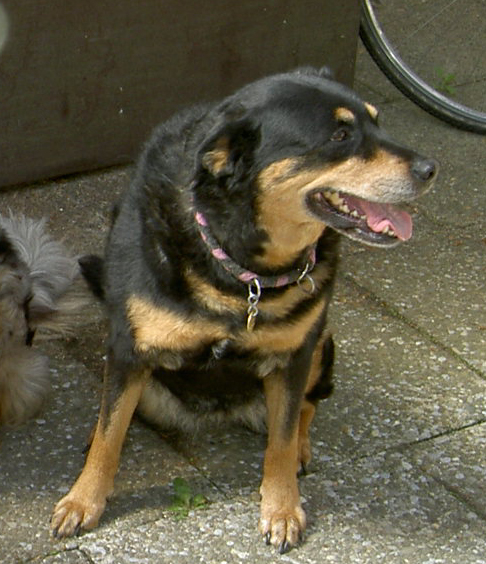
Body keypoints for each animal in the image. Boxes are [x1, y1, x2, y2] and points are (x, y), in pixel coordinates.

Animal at [51, 67, 438, 552]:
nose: (431, 168)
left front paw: (282, 508)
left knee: (305, 410)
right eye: (341, 135)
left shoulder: (294, 356)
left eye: (378, 122)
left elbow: (282, 440)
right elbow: (109, 433)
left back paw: (302, 448)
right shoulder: (128, 348)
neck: (242, 274)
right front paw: (83, 500)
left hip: (323, 342)